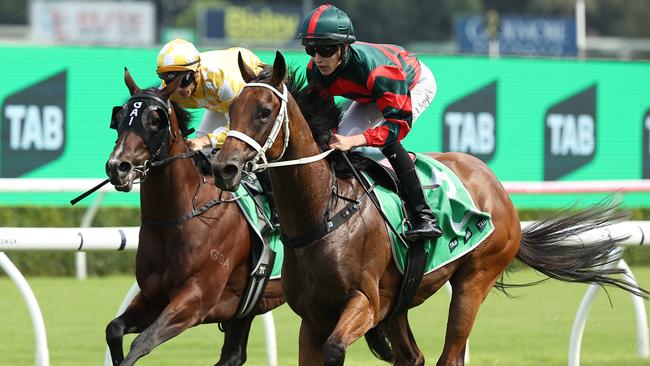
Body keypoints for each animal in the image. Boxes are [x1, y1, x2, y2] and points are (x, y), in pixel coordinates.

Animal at [104, 68, 284, 366]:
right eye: (119, 118)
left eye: (155, 120)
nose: (118, 166)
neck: (181, 216)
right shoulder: (153, 299)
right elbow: (114, 329)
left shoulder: (196, 301)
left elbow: (143, 342)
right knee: (233, 355)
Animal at [210, 52, 644, 366]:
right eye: (230, 112)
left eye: (264, 111)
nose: (224, 168)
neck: (324, 214)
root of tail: (496, 188)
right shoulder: (313, 319)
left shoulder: (363, 303)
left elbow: (337, 349)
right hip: (400, 302)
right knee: (413, 357)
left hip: (475, 278)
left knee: (449, 355)